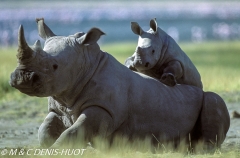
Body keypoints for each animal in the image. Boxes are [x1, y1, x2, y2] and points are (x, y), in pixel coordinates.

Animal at [9, 18, 231, 151]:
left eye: (55, 66)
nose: (21, 77)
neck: (86, 65)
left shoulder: (103, 108)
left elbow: (74, 132)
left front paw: (58, 150)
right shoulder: (59, 106)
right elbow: (44, 130)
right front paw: (49, 148)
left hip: (201, 94)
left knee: (212, 99)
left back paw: (201, 150)